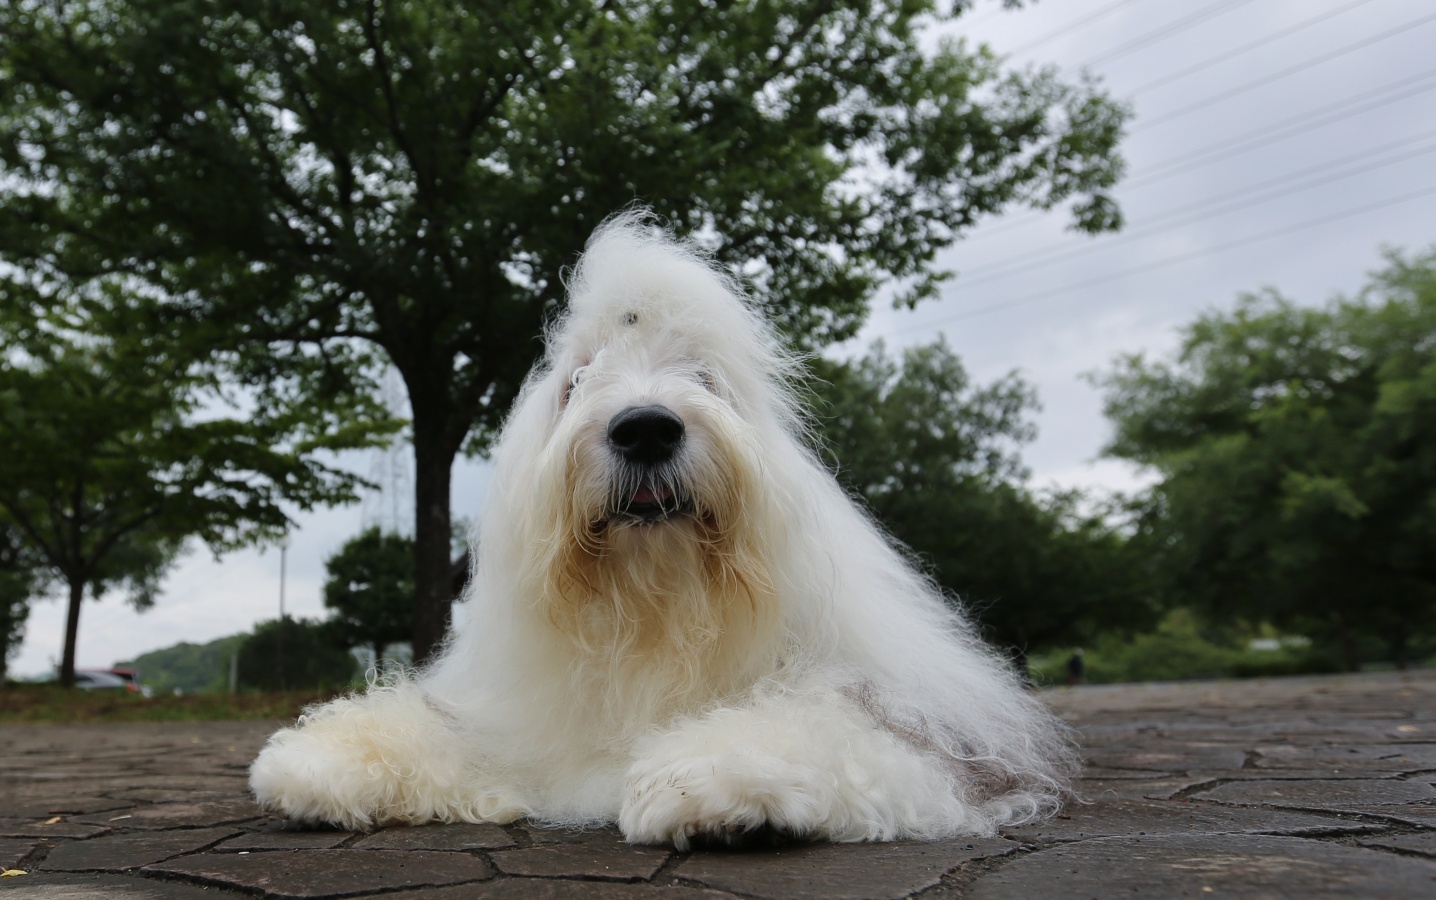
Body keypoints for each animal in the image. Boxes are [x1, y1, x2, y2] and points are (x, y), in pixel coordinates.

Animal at [249, 213, 1075, 848]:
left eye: (704, 377)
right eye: (576, 381)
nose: (646, 427)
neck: (656, 616)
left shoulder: (932, 725)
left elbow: (832, 723)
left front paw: (699, 779)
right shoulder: (511, 718)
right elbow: (450, 731)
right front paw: (317, 761)